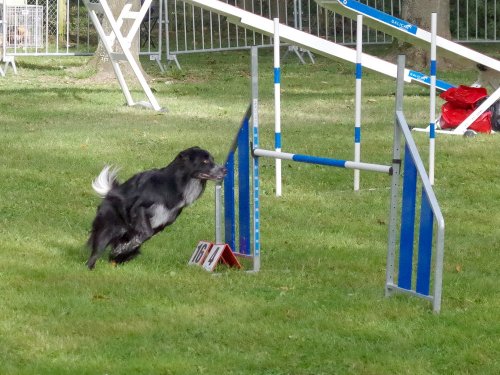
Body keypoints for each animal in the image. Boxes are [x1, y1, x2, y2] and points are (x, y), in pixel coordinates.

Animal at [86, 147, 227, 270]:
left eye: (212, 159)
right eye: (205, 161)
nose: (225, 170)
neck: (175, 183)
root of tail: (111, 192)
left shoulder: (163, 222)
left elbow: (144, 237)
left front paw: (124, 249)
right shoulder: (139, 208)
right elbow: (146, 233)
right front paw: (124, 248)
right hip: (108, 228)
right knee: (97, 248)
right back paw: (91, 266)